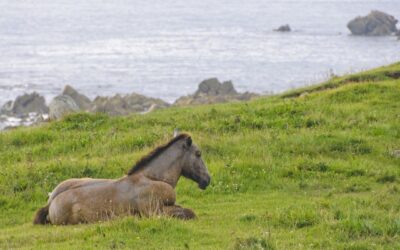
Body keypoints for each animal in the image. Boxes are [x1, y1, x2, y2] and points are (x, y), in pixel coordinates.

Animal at [32, 134, 211, 226]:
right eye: (198, 154)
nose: (207, 179)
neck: (152, 178)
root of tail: (50, 203)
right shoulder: (154, 212)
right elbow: (189, 213)